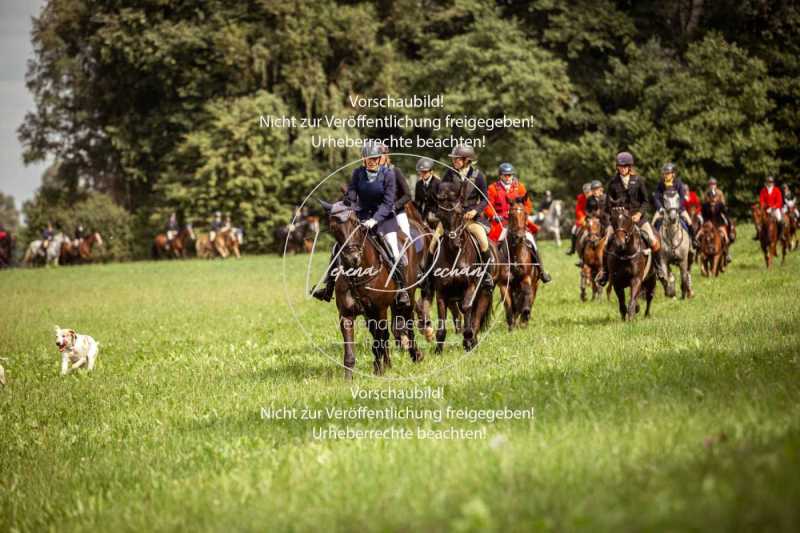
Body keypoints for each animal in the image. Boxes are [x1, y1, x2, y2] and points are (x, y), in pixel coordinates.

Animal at [318, 200, 424, 378]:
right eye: (333, 227)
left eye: (355, 223)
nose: (352, 258)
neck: (358, 275)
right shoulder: (346, 315)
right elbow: (350, 350)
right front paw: (349, 378)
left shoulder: (379, 310)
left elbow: (379, 340)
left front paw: (378, 370)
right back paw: (387, 364)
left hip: (406, 299)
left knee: (407, 324)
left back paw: (416, 356)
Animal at [432, 181, 494, 352]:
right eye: (440, 215)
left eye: (460, 214)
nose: (454, 243)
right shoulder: (441, 293)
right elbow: (442, 321)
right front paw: (438, 350)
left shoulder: (471, 287)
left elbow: (467, 309)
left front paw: (467, 339)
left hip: (484, 293)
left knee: (475, 317)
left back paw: (472, 341)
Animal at [496, 196, 540, 328]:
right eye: (511, 214)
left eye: (525, 213)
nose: (519, 237)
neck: (515, 253)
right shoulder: (504, 284)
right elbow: (508, 305)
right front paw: (511, 325)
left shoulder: (526, 278)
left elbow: (526, 293)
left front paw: (525, 312)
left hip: (536, 284)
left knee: (530, 297)